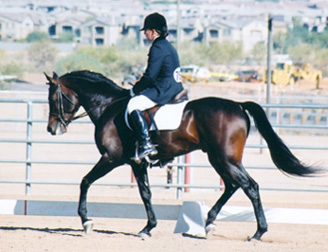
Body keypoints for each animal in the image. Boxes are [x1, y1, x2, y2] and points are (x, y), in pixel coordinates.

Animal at [44, 70, 322, 241]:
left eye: (53, 98)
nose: (52, 129)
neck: (109, 106)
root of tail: (238, 105)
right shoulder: (137, 163)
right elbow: (145, 194)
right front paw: (148, 227)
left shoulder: (111, 158)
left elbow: (85, 182)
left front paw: (86, 221)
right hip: (221, 159)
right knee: (234, 185)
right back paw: (209, 223)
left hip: (224, 159)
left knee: (249, 186)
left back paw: (257, 233)